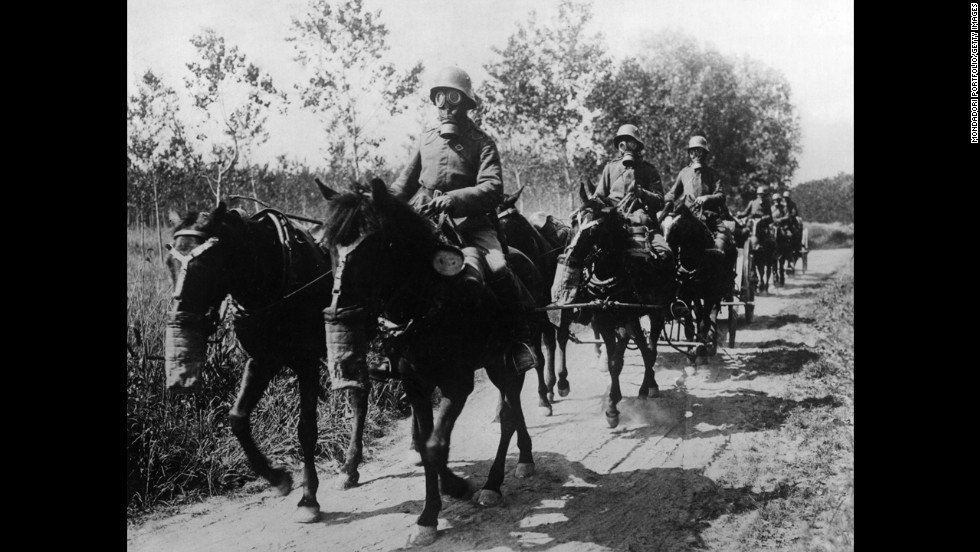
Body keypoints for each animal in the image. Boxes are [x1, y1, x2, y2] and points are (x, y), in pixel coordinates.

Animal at [163, 205, 366, 524]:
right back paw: (349, 468)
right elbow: (237, 418)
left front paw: (308, 498)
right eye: (170, 260)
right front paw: (277, 478)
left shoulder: (306, 362)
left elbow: (306, 429)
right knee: (360, 393)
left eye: (206, 263)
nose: (179, 320)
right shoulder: (261, 360)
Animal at [316, 179, 536, 544]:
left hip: (504, 363)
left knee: (507, 414)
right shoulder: (416, 385)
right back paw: (522, 459)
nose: (336, 311)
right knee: (511, 410)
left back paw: (494, 483)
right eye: (326, 246)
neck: (430, 299)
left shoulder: (457, 384)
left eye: (371, 242)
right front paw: (434, 507)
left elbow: (435, 446)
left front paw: (451, 493)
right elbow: (425, 441)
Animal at [564, 188, 676, 430]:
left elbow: (617, 361)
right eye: (574, 221)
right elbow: (612, 358)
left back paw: (648, 387)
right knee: (644, 347)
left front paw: (612, 408)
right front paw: (613, 402)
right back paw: (648, 385)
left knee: (651, 349)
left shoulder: (626, 320)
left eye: (594, 228)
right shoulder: (604, 321)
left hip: (655, 313)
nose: (569, 256)